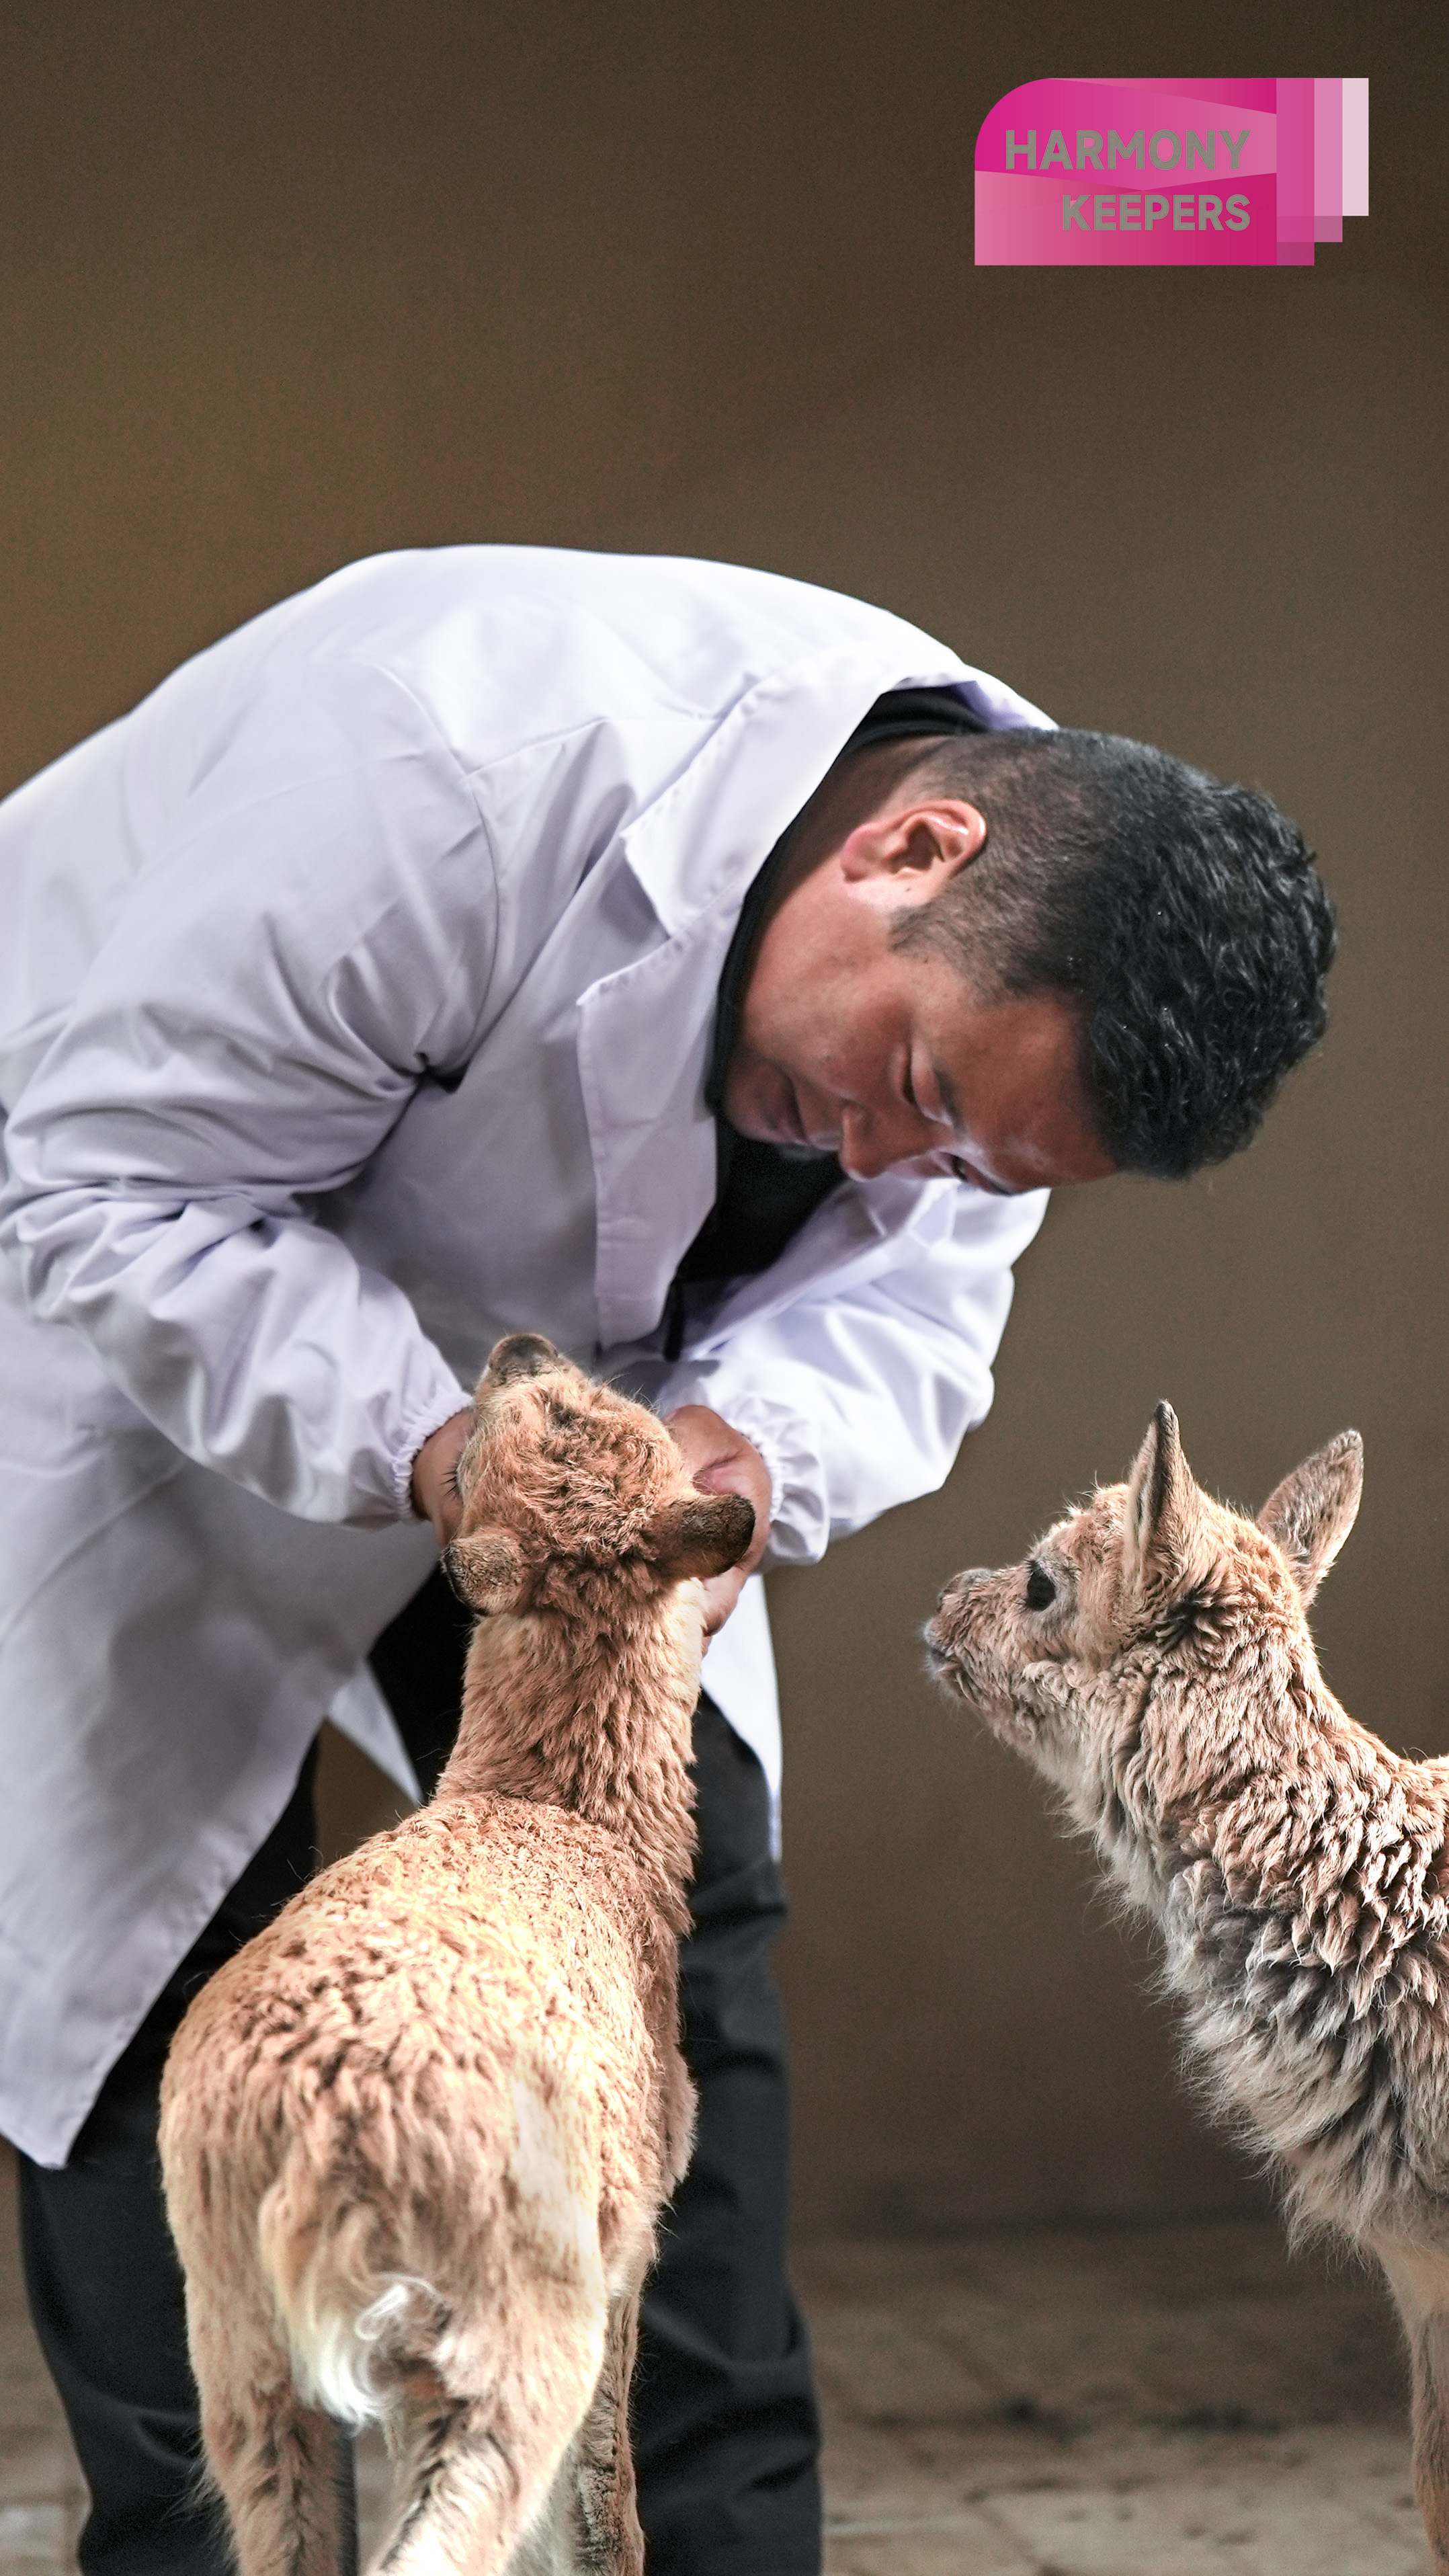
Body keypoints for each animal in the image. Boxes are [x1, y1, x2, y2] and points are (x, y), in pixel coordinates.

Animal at [159, 1339, 756, 2576]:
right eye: (568, 1409)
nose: (520, 1346)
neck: (563, 1812)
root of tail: (316, 2122)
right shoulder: (627, 2251)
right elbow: (607, 2499)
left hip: (240, 2345)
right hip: (508, 2326)